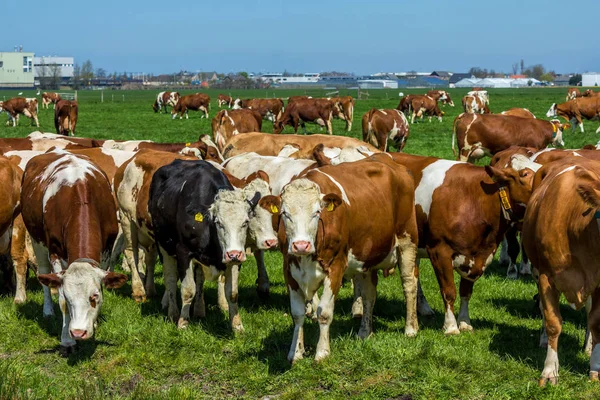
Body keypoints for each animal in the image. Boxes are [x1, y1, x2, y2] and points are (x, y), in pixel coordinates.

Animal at [21, 148, 127, 354]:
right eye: (70, 299)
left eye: (94, 296)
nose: (78, 332)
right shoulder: (55, 252)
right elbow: (60, 298)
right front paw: (67, 340)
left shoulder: (106, 251)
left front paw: (94, 324)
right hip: (37, 240)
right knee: (43, 274)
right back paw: (48, 310)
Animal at [256, 155, 418, 362]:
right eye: (285, 214)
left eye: (317, 212)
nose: (301, 245)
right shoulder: (289, 268)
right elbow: (297, 313)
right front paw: (296, 352)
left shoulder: (336, 267)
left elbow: (324, 312)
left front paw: (322, 352)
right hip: (368, 257)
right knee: (369, 294)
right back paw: (364, 332)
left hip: (407, 241)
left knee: (409, 284)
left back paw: (411, 329)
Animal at [390, 153, 540, 334]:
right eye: (524, 174)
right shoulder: (439, 251)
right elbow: (449, 291)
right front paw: (451, 327)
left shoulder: (478, 255)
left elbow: (466, 292)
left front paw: (464, 322)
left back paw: (423, 308)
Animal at [524, 156, 600, 384]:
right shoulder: (546, 277)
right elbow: (553, 322)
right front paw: (549, 371)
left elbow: (596, 321)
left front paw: (595, 368)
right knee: (543, 309)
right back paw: (542, 339)